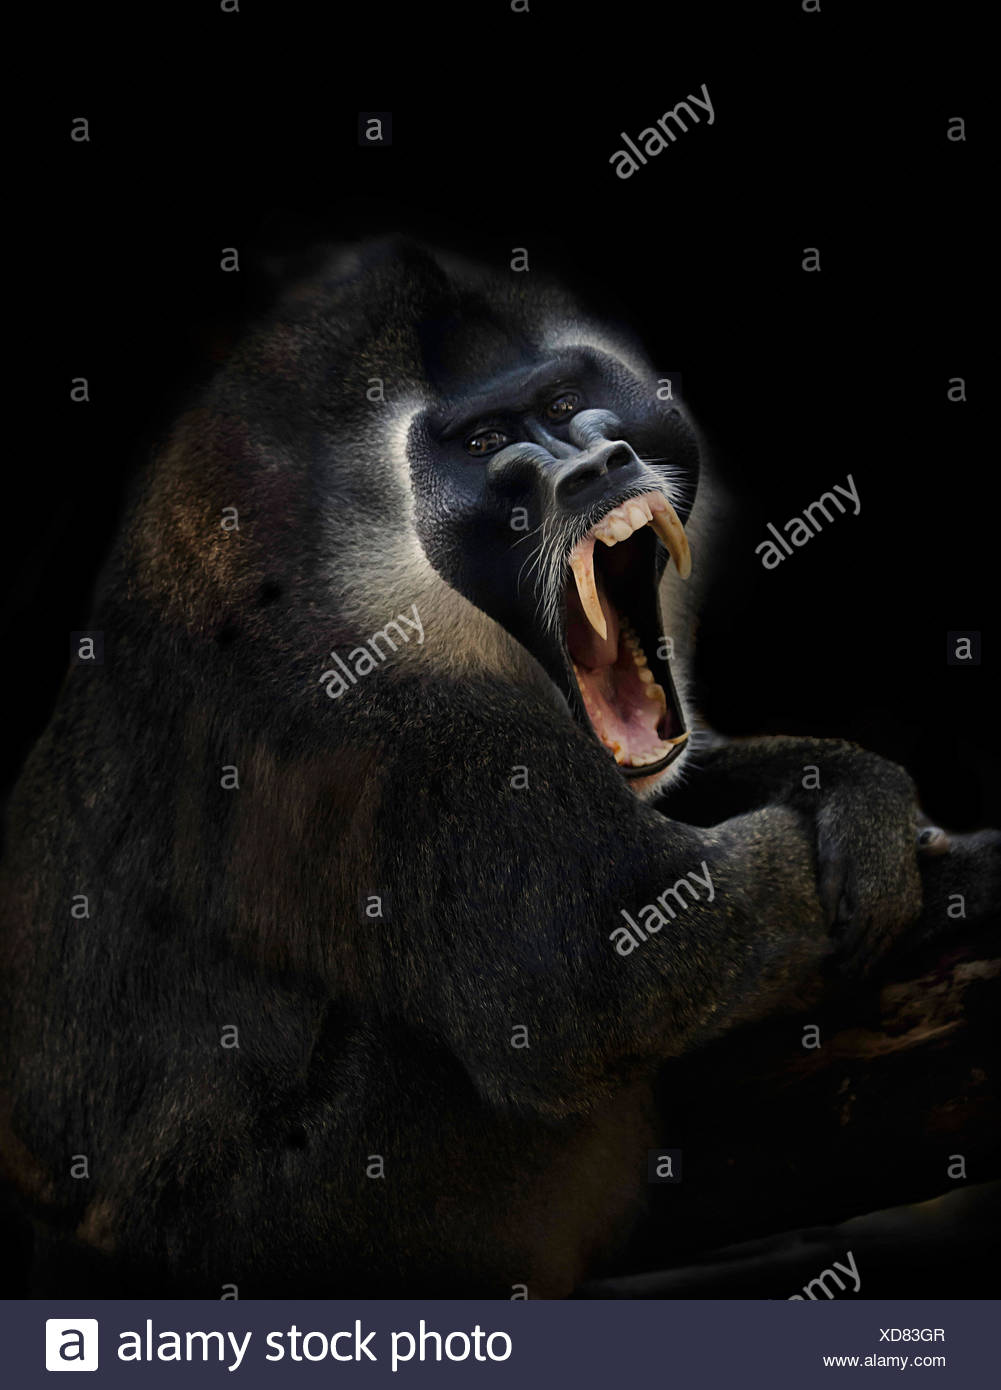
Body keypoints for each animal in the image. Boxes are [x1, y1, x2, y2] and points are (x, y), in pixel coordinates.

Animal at [1, 238, 997, 1298]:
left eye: (562, 404)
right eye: (484, 446)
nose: (592, 466)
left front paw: (861, 794)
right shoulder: (389, 712)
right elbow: (593, 974)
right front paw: (963, 879)